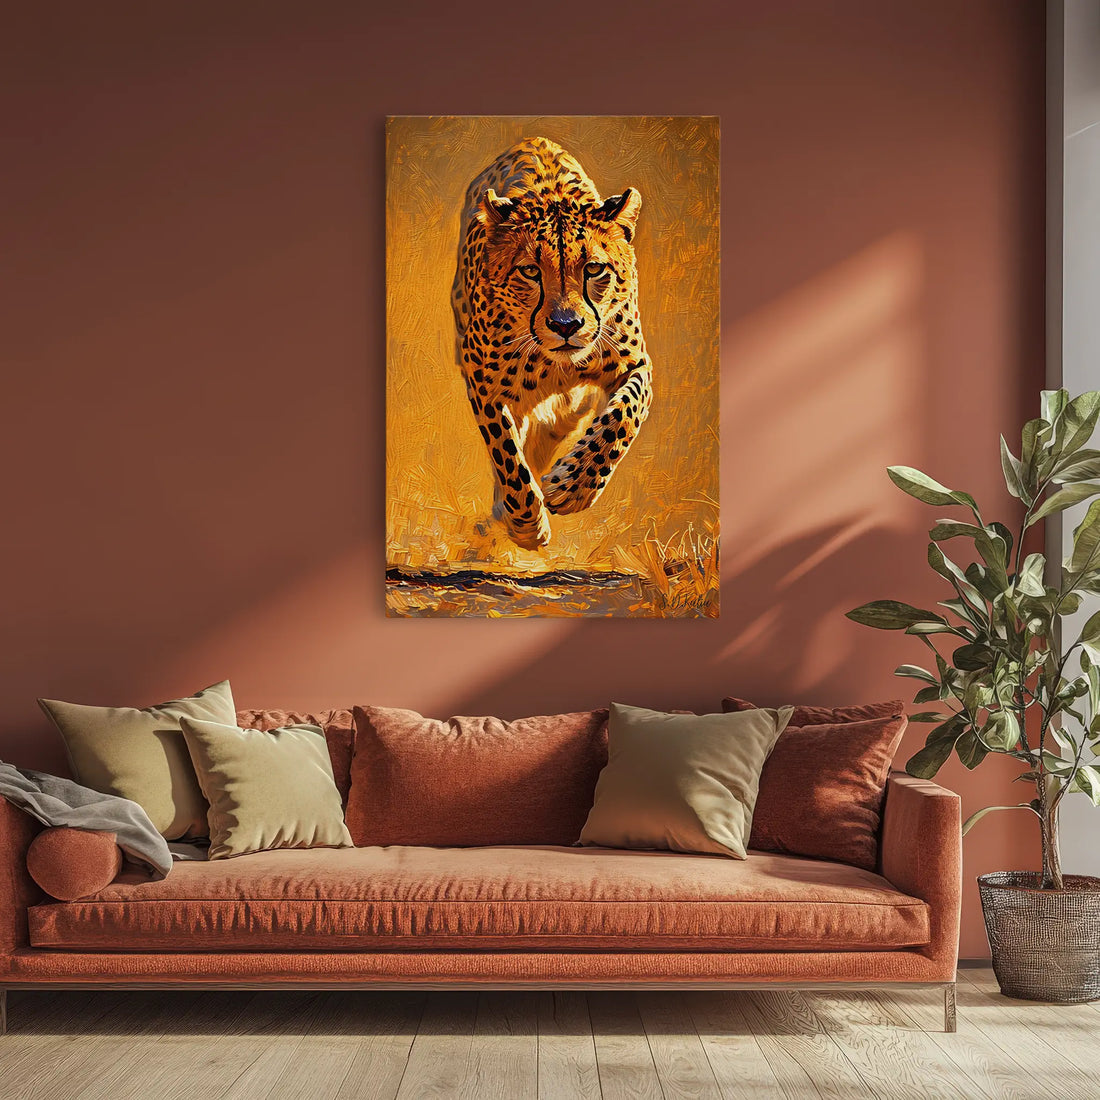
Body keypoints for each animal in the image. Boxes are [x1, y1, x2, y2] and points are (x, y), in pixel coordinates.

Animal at [451, 136, 653, 550]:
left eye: (594, 269)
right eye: (530, 271)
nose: (565, 325)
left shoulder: (636, 364)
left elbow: (623, 417)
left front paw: (571, 487)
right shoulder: (483, 386)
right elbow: (507, 457)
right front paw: (527, 525)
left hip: (568, 414)